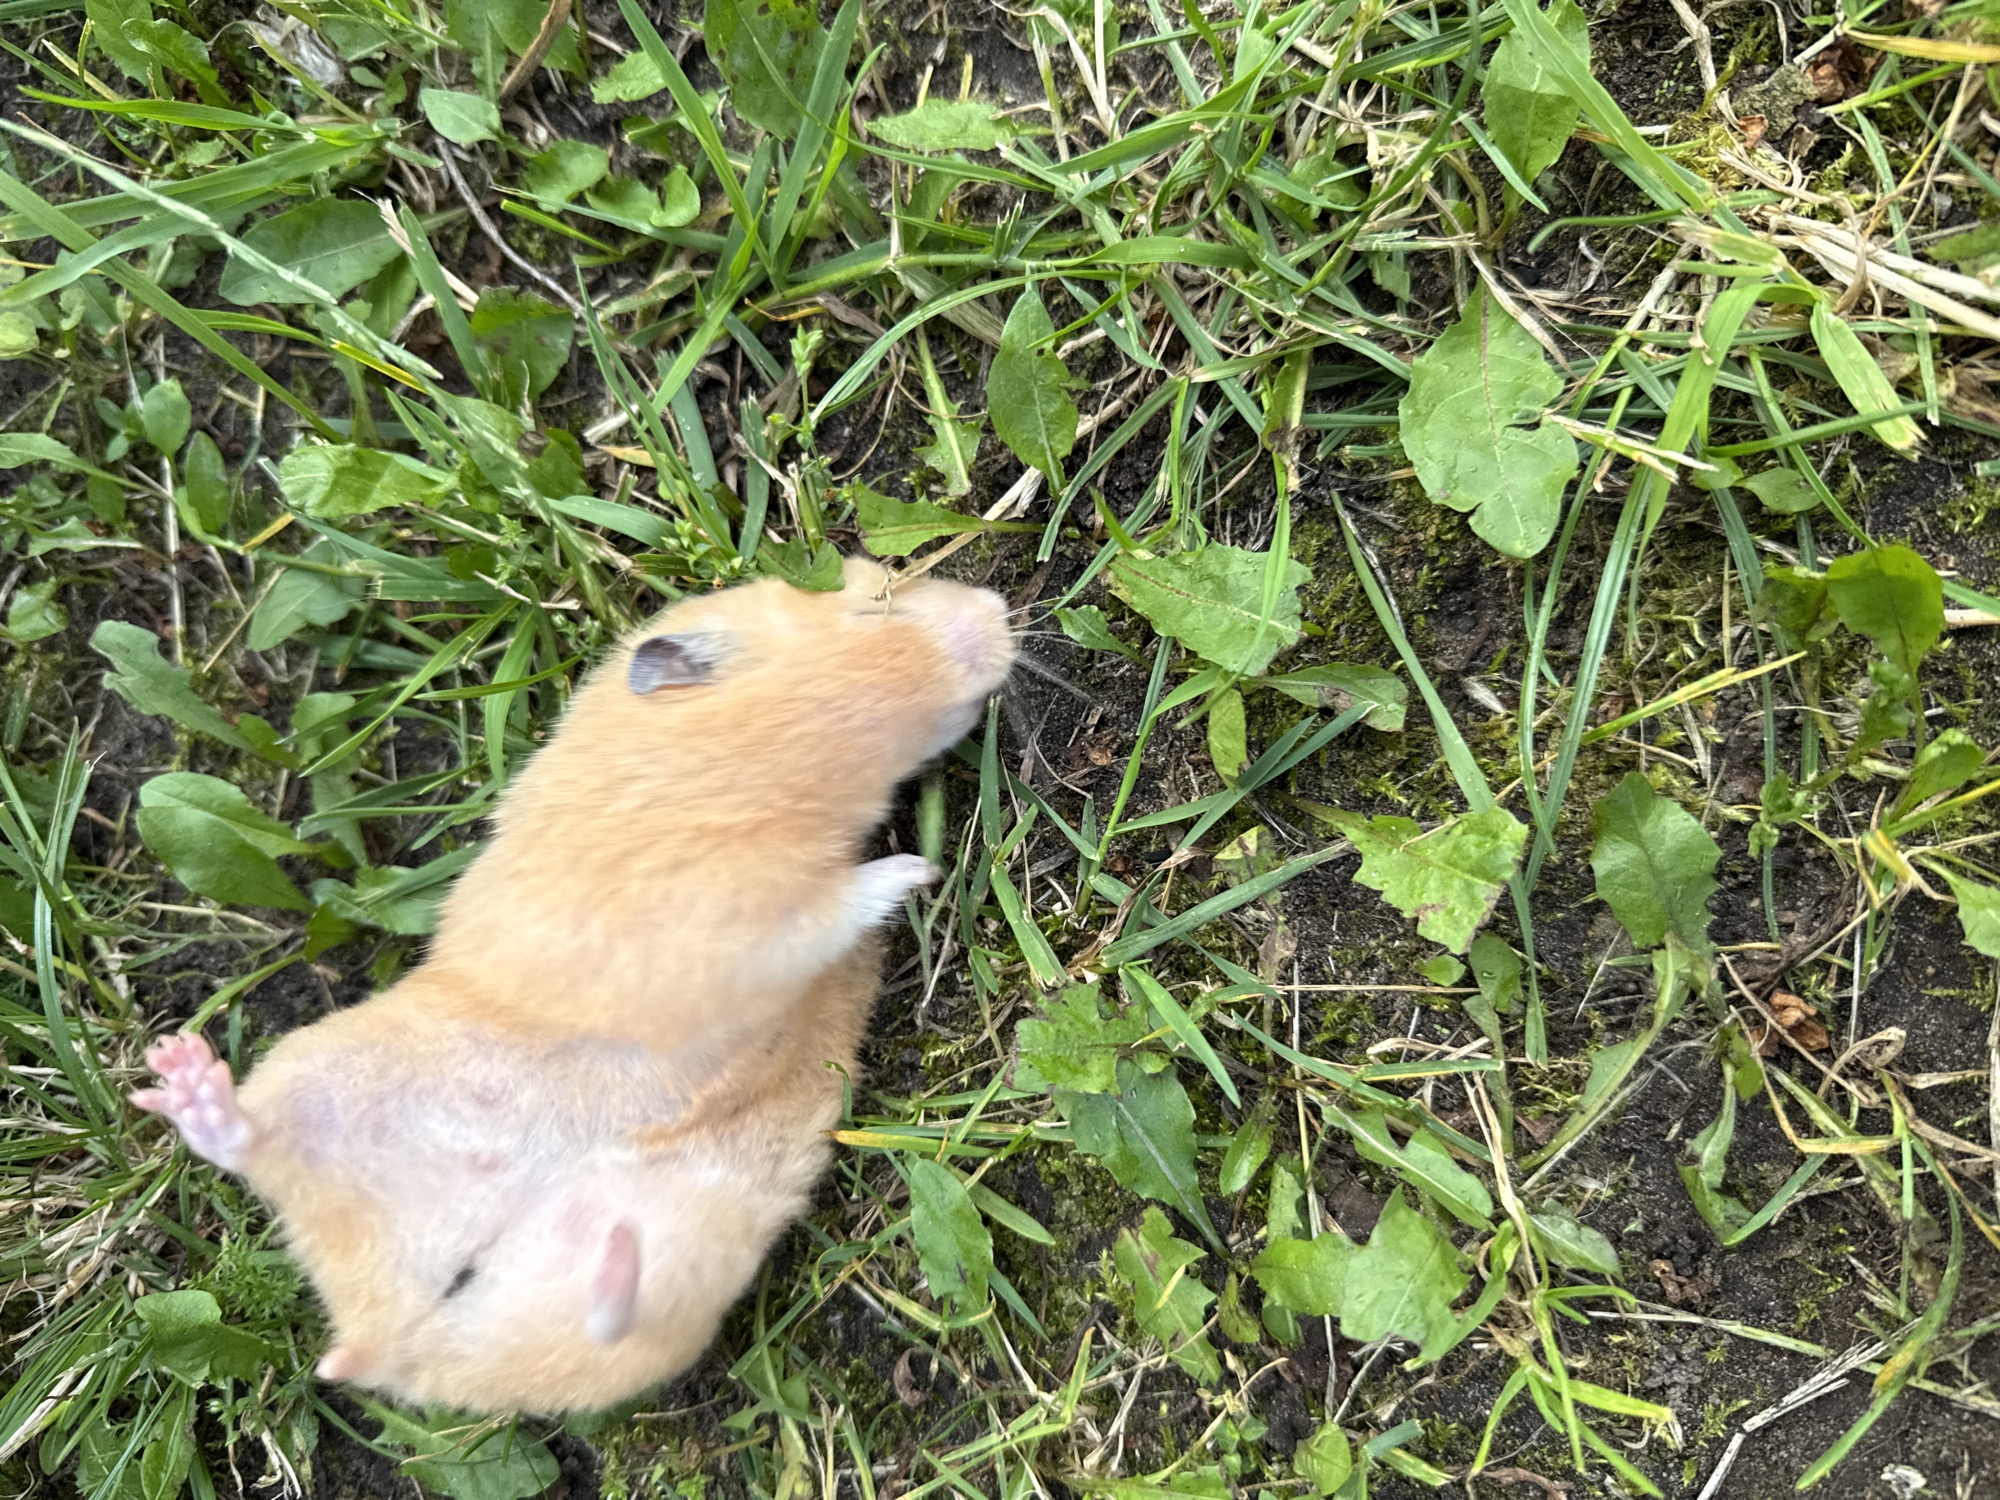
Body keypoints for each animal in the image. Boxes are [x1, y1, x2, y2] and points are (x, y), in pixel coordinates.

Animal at [131, 557, 1017, 1413]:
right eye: (876, 605)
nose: (1001, 606)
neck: (740, 770)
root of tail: (389, 1324)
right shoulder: (743, 922)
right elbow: (829, 907)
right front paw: (914, 868)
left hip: (668, 1240)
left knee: (590, 1327)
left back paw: (612, 1257)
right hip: (329, 1069)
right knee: (252, 1145)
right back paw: (184, 1077)